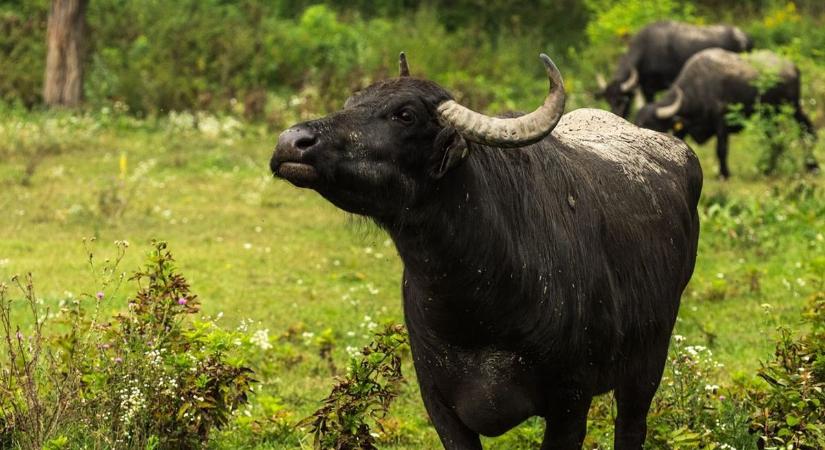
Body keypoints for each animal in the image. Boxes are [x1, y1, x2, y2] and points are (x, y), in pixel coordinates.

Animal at [596, 20, 748, 118]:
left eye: (623, 100)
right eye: (608, 100)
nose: (617, 114)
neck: (647, 51)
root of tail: (742, 35)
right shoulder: (647, 89)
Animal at [632, 48, 816, 178]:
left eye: (650, 124)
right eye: (637, 122)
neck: (698, 88)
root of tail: (792, 66)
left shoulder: (721, 122)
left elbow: (721, 149)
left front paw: (724, 173)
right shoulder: (684, 126)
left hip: (792, 106)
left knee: (807, 129)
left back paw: (812, 165)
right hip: (770, 114)